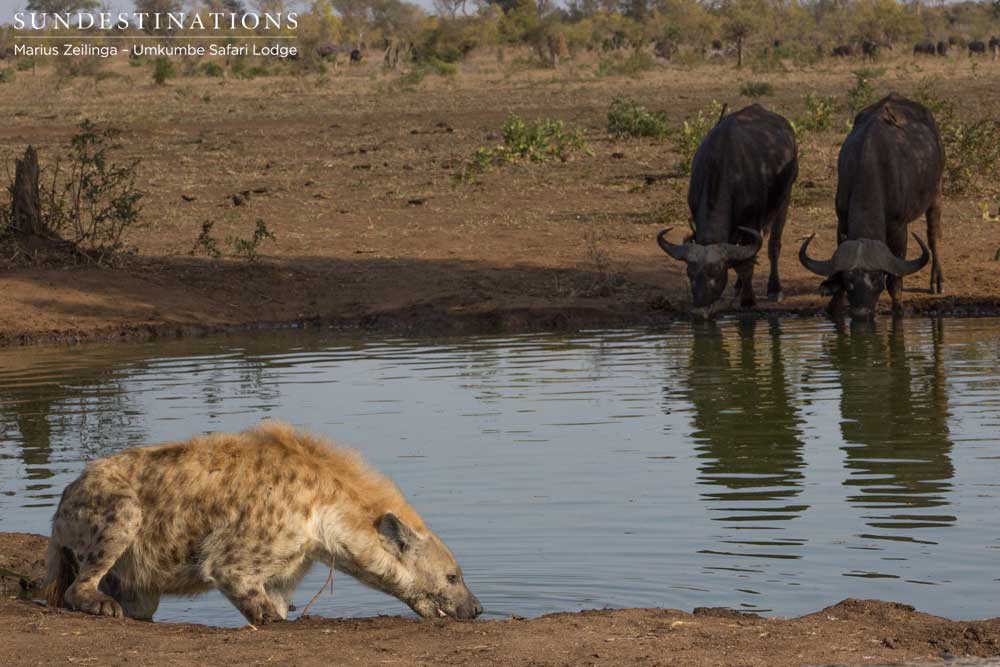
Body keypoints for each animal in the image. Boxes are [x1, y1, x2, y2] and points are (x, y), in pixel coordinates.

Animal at [657, 104, 798, 318]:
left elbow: (748, 263)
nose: (700, 309)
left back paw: (774, 289)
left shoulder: (752, 223)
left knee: (774, 245)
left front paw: (748, 300)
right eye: (690, 274)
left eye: (716, 274)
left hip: (786, 195)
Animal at [799, 94, 944, 318]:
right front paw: (835, 306)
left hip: (936, 190)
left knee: (933, 232)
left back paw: (937, 280)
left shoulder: (898, 227)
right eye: (849, 281)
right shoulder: (842, 220)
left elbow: (895, 279)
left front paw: (898, 308)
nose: (861, 312)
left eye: (876, 280)